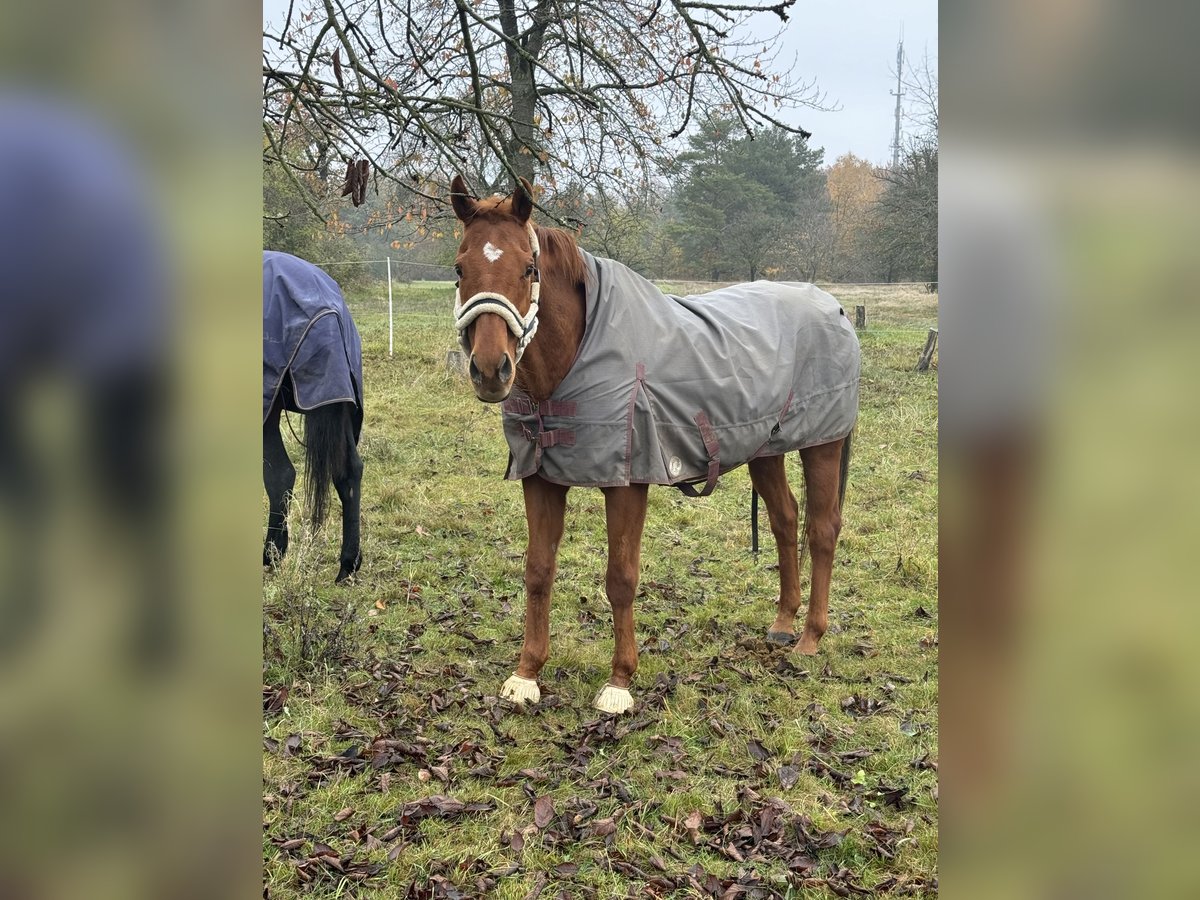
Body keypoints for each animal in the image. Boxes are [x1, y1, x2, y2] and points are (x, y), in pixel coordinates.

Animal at [446, 174, 859, 710]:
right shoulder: (540, 478)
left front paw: (619, 682)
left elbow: (621, 579)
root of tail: (834, 307)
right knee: (785, 520)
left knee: (822, 529)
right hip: (765, 448)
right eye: (459, 268)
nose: (491, 370)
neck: (572, 360)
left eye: (528, 268)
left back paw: (810, 638)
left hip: (823, 444)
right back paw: (783, 624)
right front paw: (527, 674)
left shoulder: (627, 484)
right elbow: (538, 571)